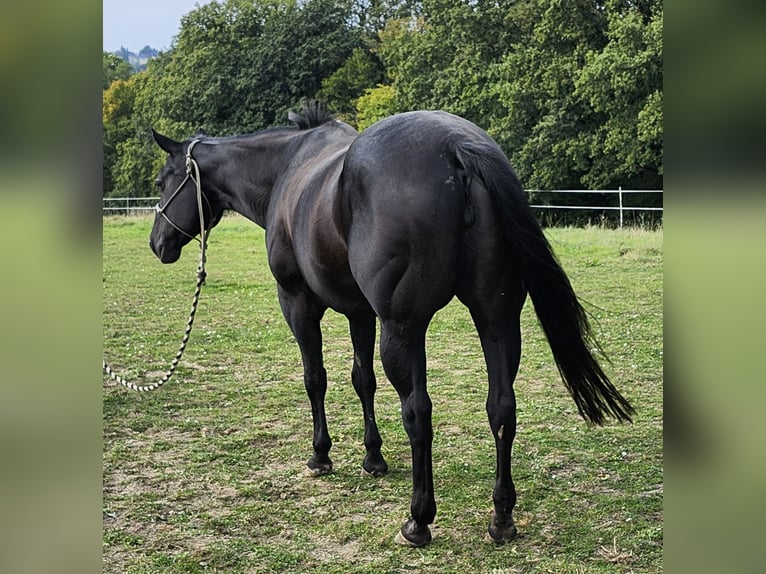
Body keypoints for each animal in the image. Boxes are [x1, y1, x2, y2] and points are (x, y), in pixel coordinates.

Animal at [148, 102, 634, 547]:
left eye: (162, 181)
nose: (157, 243)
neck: (288, 168)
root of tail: (456, 147)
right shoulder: (361, 312)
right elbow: (362, 380)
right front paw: (373, 458)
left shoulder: (299, 303)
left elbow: (315, 378)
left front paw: (321, 456)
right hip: (496, 320)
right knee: (502, 408)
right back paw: (501, 517)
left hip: (404, 329)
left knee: (418, 411)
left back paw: (418, 519)